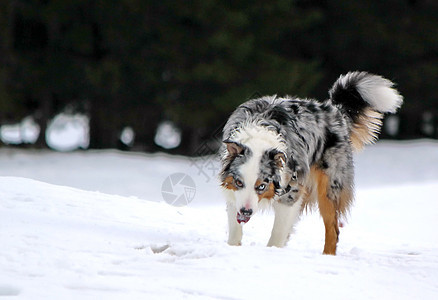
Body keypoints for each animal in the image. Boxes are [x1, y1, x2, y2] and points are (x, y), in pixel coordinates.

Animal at [221, 71, 402, 254]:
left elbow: (277, 234)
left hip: (329, 188)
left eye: (261, 186)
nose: (246, 212)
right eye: (239, 182)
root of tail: (335, 110)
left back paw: (327, 256)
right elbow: (235, 230)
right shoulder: (233, 194)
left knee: (333, 230)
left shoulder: (291, 193)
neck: (259, 137)